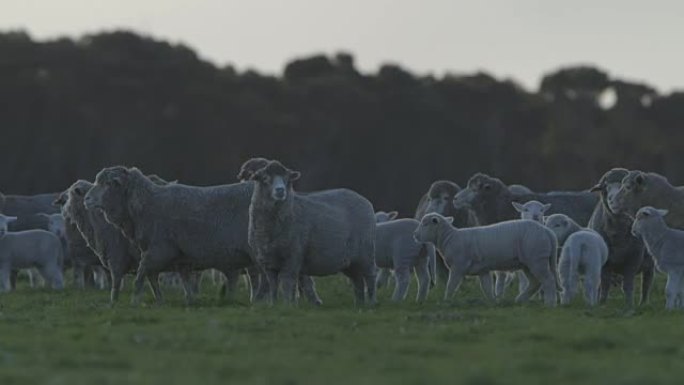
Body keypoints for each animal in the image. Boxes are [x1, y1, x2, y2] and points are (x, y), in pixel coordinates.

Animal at [247, 159, 376, 304]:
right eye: (265, 178)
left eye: (287, 179)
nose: (280, 191)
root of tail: (365, 200)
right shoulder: (268, 262)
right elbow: (273, 285)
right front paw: (273, 304)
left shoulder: (293, 256)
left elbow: (287, 283)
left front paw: (288, 304)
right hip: (350, 260)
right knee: (357, 280)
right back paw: (359, 304)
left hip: (366, 253)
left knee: (370, 276)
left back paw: (371, 302)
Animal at [414, 213, 560, 306]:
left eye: (425, 224)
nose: (415, 235)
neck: (449, 237)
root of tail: (548, 232)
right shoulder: (482, 270)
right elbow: (487, 288)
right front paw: (493, 303)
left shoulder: (458, 267)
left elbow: (451, 286)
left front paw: (446, 301)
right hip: (528, 263)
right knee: (535, 282)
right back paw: (520, 300)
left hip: (537, 259)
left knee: (548, 280)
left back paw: (550, 303)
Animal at [584, 168, 656, 306]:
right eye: (605, 187)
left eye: (624, 187)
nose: (612, 199)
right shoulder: (605, 263)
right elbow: (604, 284)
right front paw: (601, 303)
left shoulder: (633, 260)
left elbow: (628, 286)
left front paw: (629, 304)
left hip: (649, 263)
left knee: (646, 282)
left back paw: (643, 303)